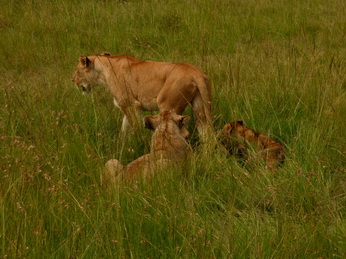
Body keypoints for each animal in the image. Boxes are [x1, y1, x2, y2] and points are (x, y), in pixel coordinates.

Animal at [72, 51, 211, 139]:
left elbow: (135, 127)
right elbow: (124, 127)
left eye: (77, 70)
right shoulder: (127, 106)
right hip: (200, 107)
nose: (72, 80)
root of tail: (195, 72)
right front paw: (122, 144)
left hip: (167, 105)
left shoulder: (131, 105)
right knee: (205, 132)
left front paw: (137, 142)